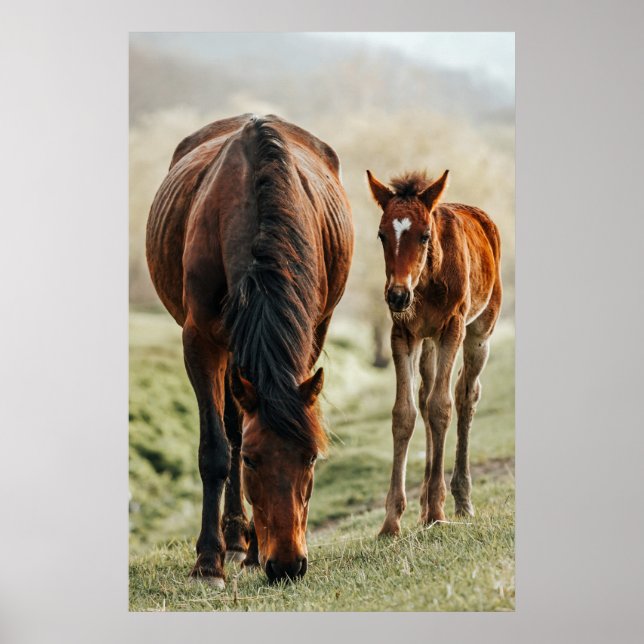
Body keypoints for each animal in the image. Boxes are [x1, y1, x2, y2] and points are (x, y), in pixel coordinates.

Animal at [146, 114, 353, 586]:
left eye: (311, 458)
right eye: (254, 463)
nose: (288, 565)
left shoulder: (310, 334)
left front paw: (255, 549)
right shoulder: (199, 340)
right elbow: (217, 450)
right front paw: (208, 561)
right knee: (231, 427)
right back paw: (233, 539)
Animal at [366, 168, 502, 536]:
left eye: (425, 235)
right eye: (382, 235)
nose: (397, 296)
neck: (425, 283)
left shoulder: (451, 328)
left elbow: (442, 406)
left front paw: (438, 512)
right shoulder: (403, 334)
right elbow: (405, 413)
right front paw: (391, 521)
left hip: (479, 332)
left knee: (466, 394)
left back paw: (460, 500)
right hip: (427, 343)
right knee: (425, 397)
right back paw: (426, 503)